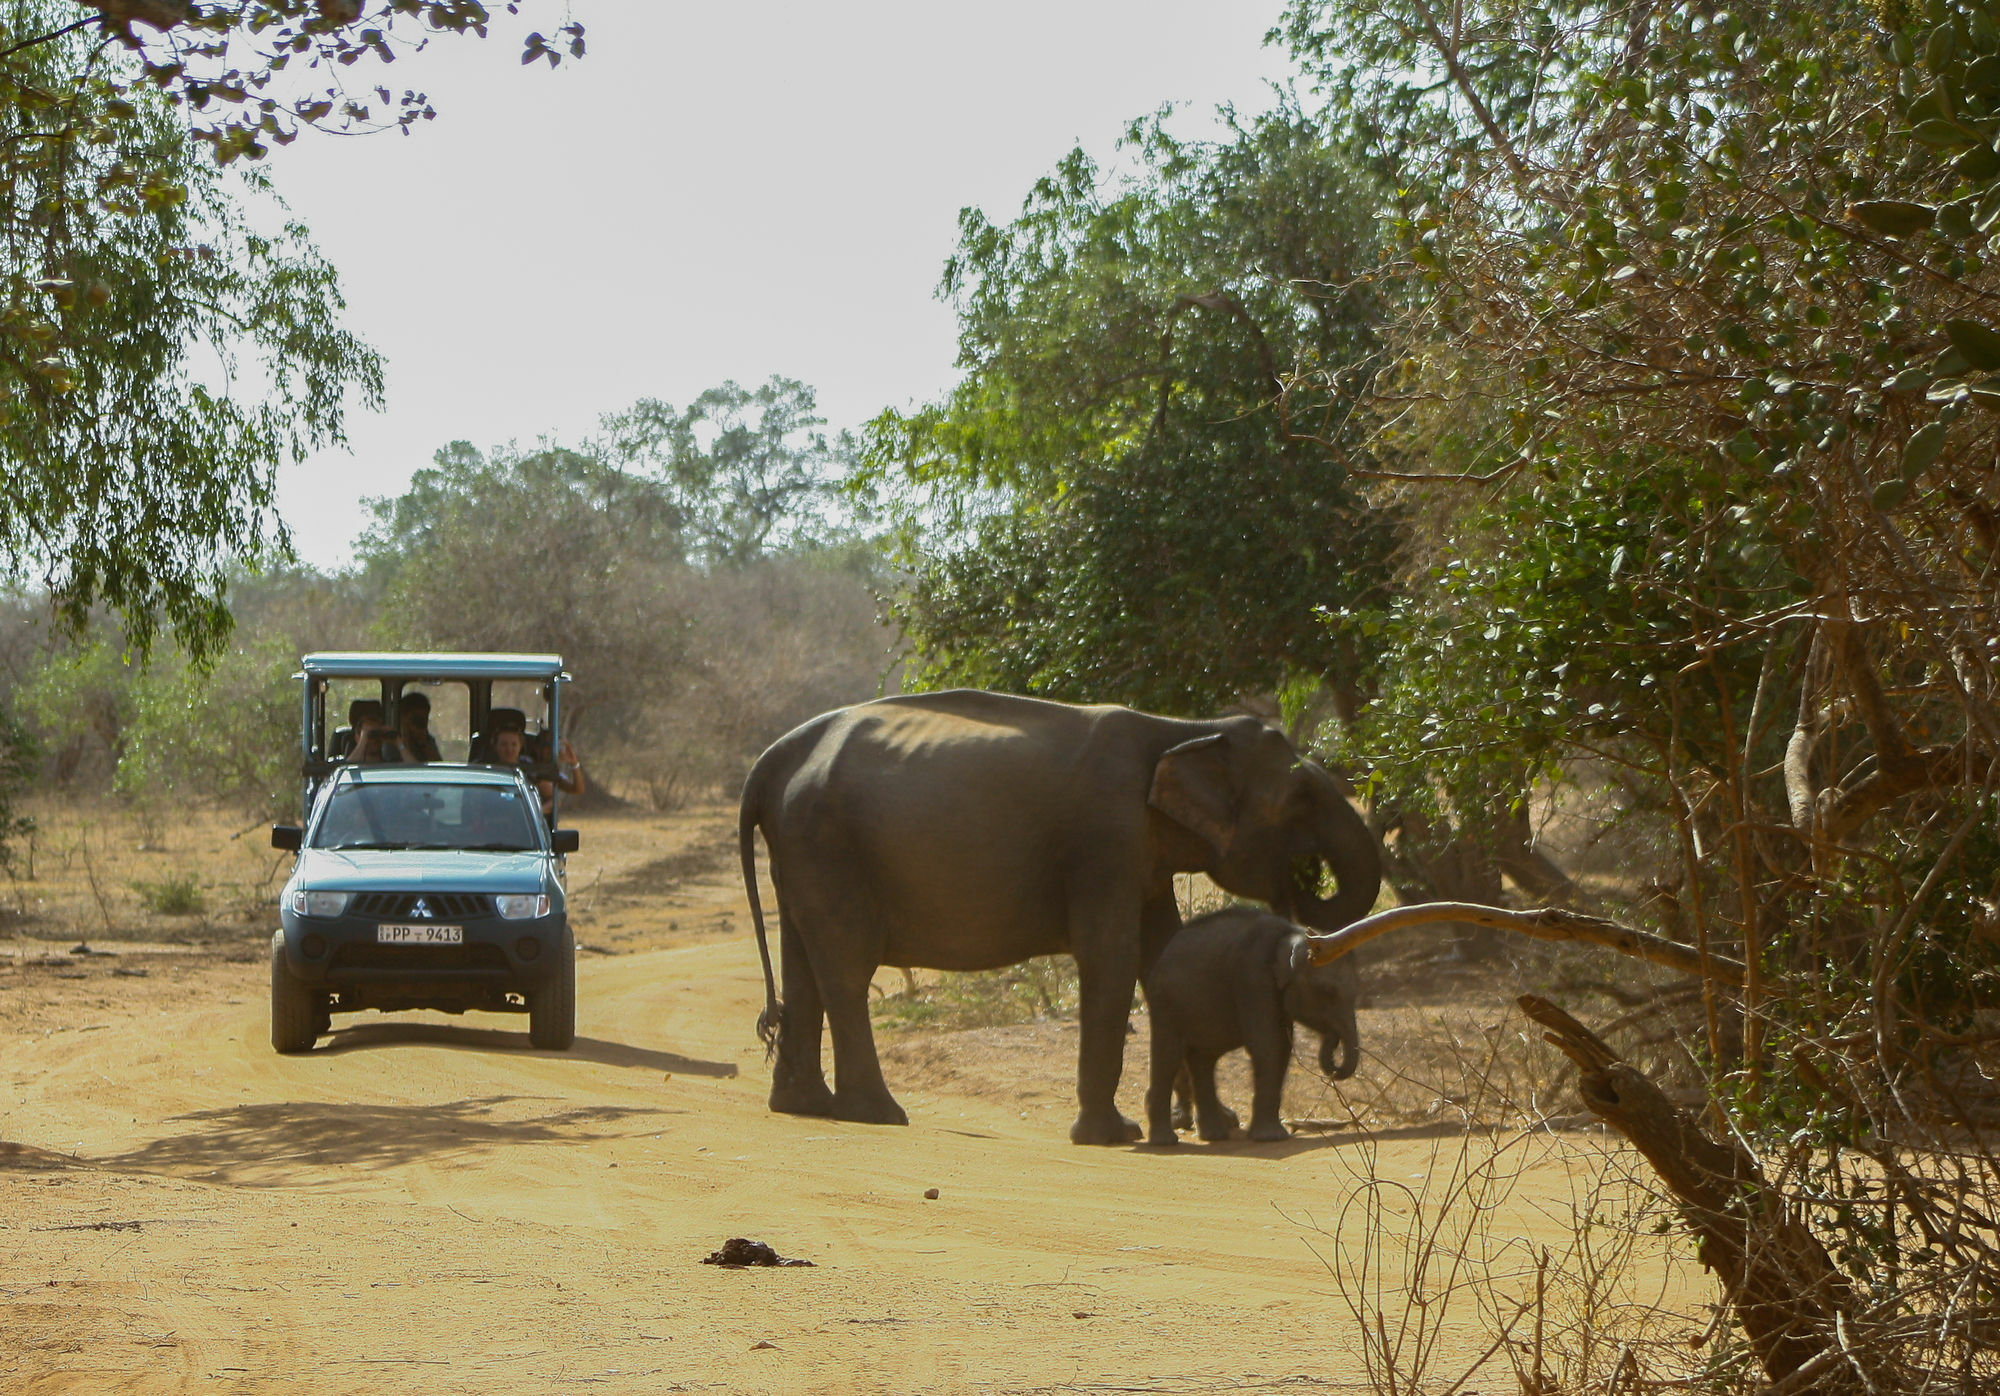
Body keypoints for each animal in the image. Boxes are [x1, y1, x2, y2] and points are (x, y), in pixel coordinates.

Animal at [1144, 904, 1360, 1144]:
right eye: (1327, 992)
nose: (1332, 1040)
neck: (1293, 934)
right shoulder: (1253, 977)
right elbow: (1268, 1045)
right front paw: (1270, 1138)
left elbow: (1282, 1048)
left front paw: (1274, 1136)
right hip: (1165, 1001)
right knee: (1169, 1055)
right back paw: (1166, 1141)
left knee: (1203, 1059)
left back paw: (1214, 1136)